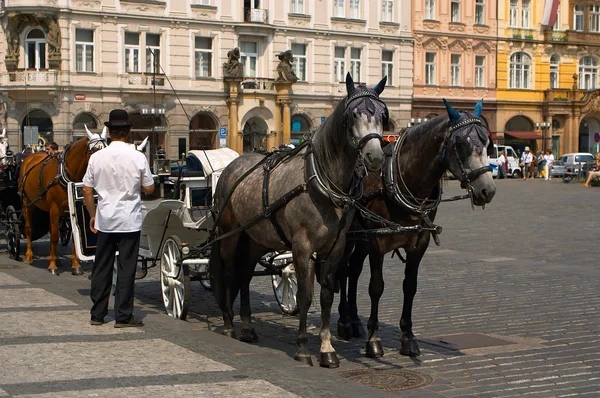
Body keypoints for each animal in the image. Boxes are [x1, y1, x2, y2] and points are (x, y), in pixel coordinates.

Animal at [18, 127, 108, 274]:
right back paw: (29, 256)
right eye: (94, 150)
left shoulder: (70, 211)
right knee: (29, 228)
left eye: (107, 147)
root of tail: (32, 156)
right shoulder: (54, 208)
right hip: (27, 203)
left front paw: (75, 265)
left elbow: (75, 238)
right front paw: (52, 266)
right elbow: (54, 236)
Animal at [211, 74, 390, 366]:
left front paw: (327, 349)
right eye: (353, 115)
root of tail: (231, 166)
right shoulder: (302, 247)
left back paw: (247, 326)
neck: (322, 183)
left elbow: (326, 295)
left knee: (245, 275)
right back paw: (228, 324)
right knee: (228, 273)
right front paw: (304, 347)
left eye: (383, 115)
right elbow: (305, 296)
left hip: (255, 238)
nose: (375, 157)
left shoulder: (336, 247)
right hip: (231, 233)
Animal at [338, 98, 496, 358]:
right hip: (349, 237)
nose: (487, 190)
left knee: (354, 270)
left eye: (486, 142)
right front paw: (374, 339)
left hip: (361, 239)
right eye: (460, 143)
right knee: (343, 269)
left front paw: (408, 337)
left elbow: (410, 287)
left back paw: (354, 320)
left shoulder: (419, 242)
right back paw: (343, 322)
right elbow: (376, 287)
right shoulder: (378, 242)